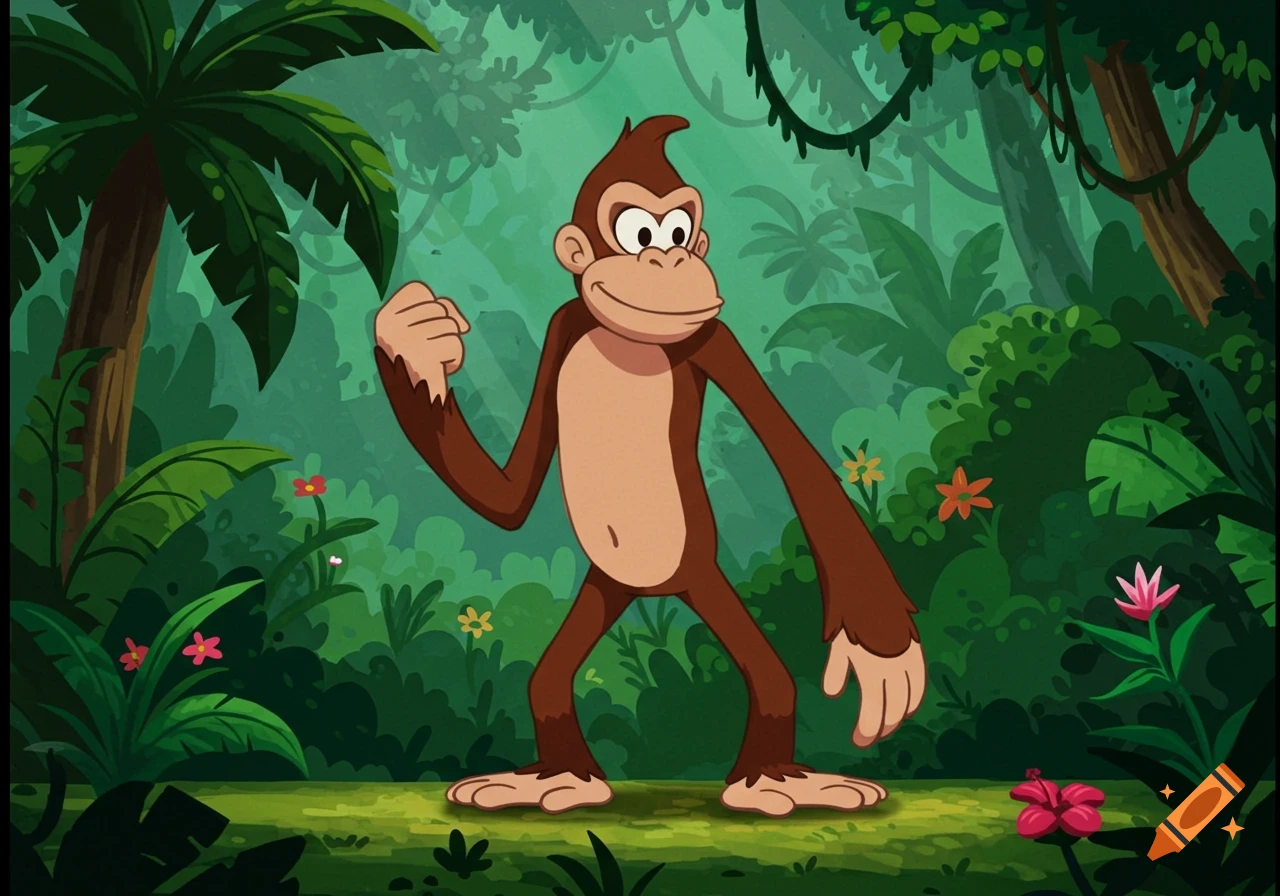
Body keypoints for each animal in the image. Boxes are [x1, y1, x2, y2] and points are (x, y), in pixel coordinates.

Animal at [373, 115, 925, 817]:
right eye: (639, 232)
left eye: (680, 232)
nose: (671, 258)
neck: (625, 337)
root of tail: (655, 591)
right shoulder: (562, 330)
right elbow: (510, 497)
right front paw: (414, 339)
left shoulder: (715, 342)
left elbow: (795, 458)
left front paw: (881, 650)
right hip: (607, 584)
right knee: (548, 679)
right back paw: (561, 779)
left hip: (697, 572)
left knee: (771, 678)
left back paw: (771, 781)